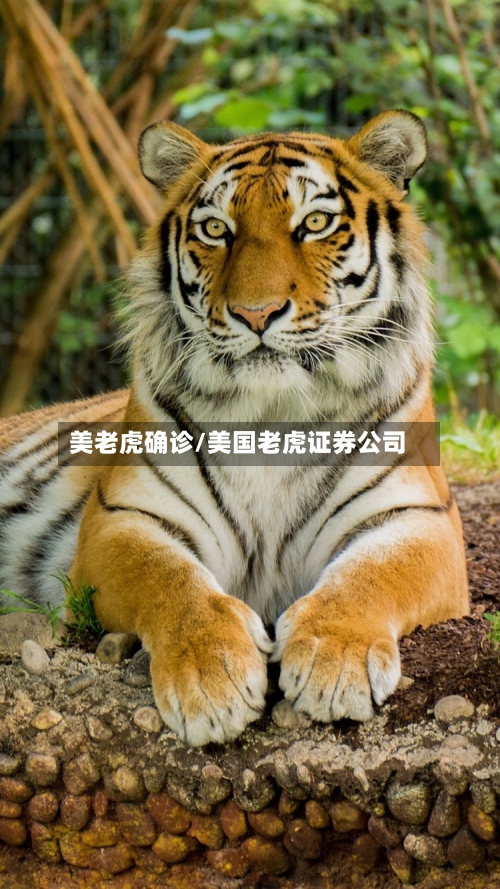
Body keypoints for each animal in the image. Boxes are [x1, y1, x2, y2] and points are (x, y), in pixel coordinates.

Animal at [0, 110, 469, 747]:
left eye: (315, 223)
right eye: (216, 229)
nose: (256, 313)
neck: (272, 416)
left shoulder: (418, 518)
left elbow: (371, 576)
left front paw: (335, 660)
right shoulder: (122, 519)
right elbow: (169, 580)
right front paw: (211, 679)